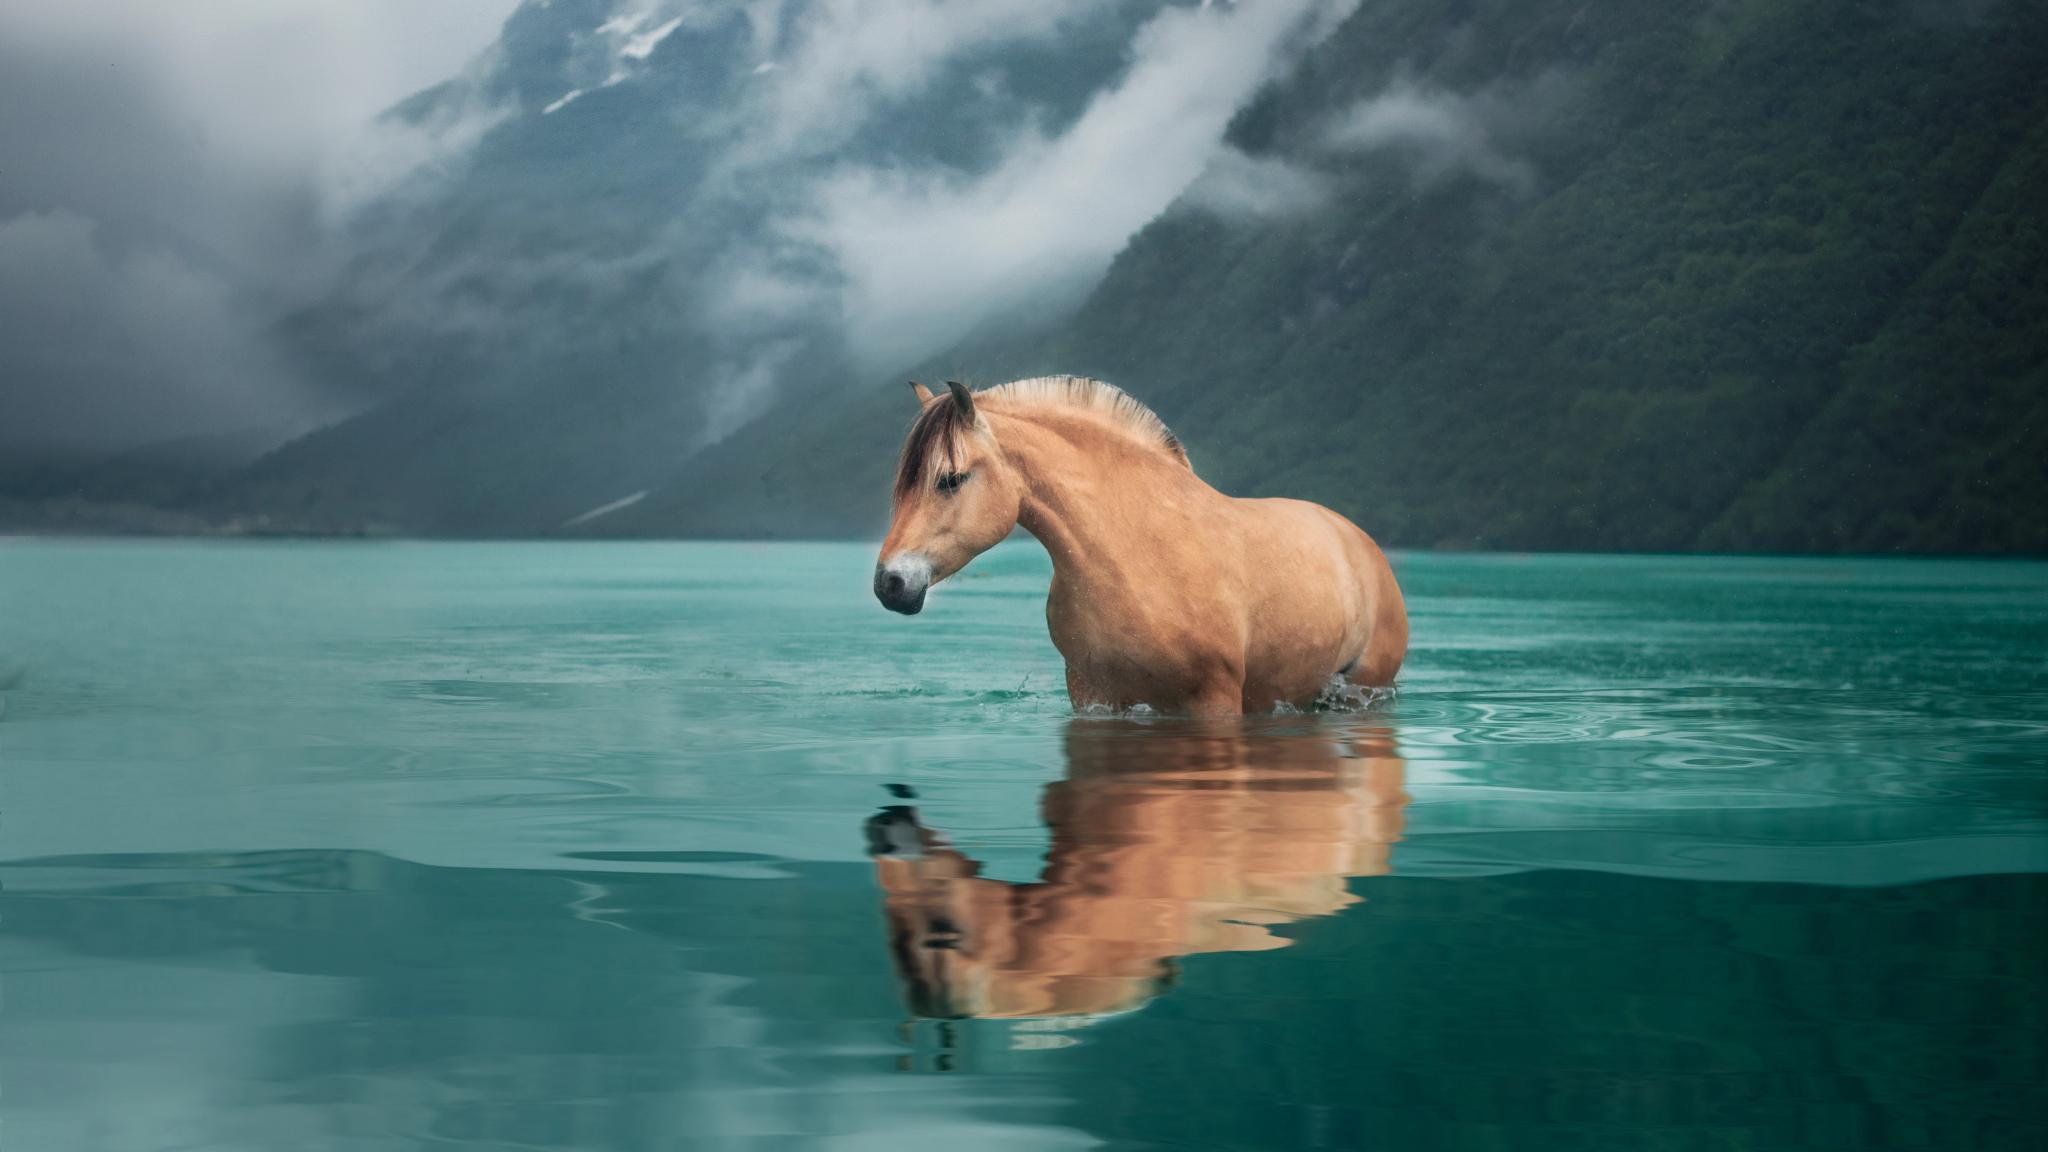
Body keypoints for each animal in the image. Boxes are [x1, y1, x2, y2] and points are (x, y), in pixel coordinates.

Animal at [874, 376, 1407, 714]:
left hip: (1361, 687)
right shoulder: (1094, 696)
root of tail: (1363, 545)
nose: (890, 584)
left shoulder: (1214, 699)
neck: (1134, 555)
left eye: (950, 478)